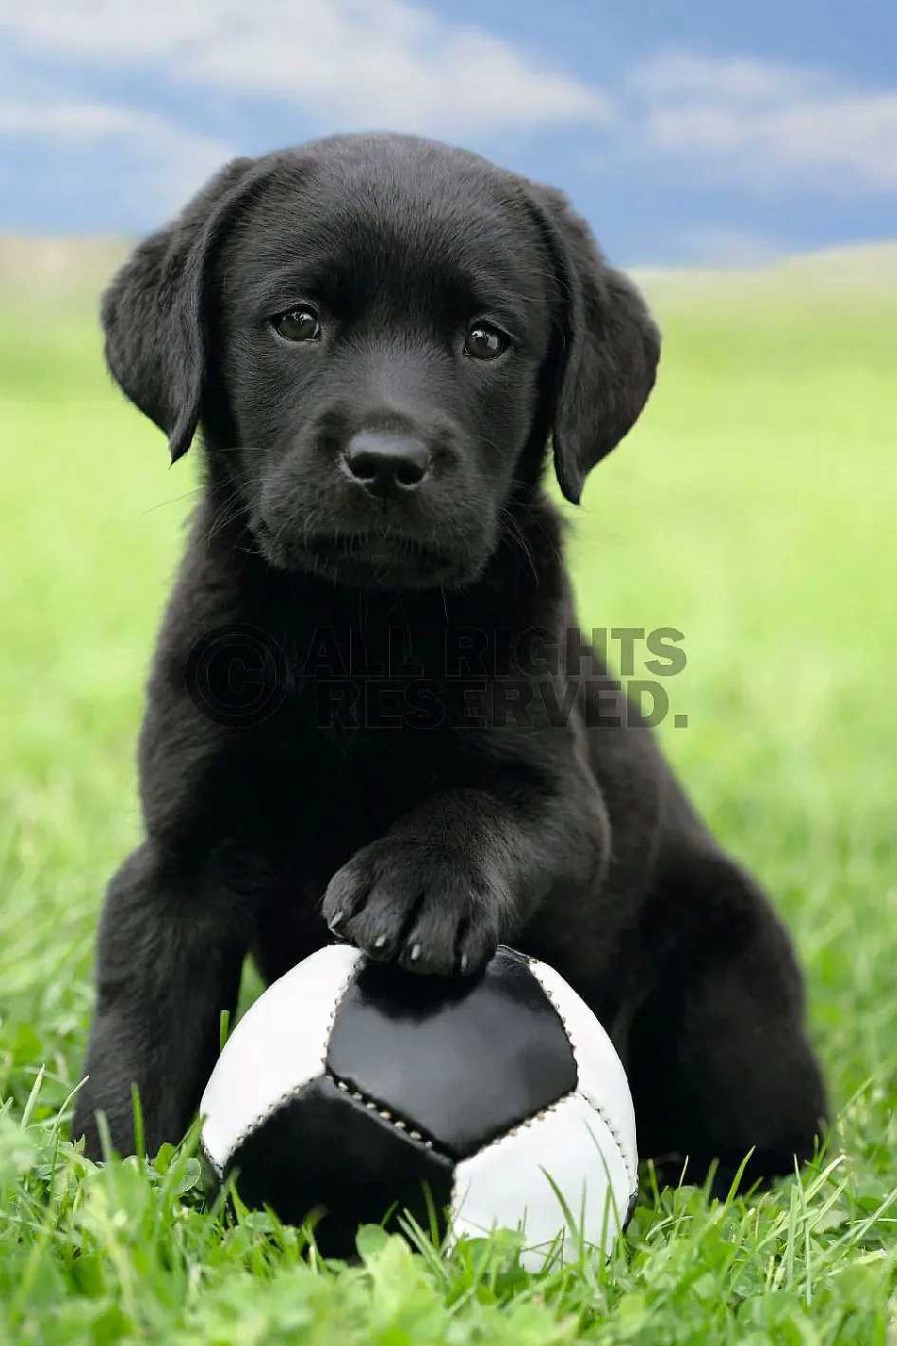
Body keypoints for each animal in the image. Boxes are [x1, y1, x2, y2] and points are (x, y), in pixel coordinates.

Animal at [75, 133, 824, 1189]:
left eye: (484, 340)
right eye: (297, 322)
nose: (388, 461)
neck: (355, 627)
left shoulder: (567, 806)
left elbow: (484, 808)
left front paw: (419, 881)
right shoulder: (184, 849)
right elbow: (143, 1023)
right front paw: (108, 1175)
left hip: (730, 973)